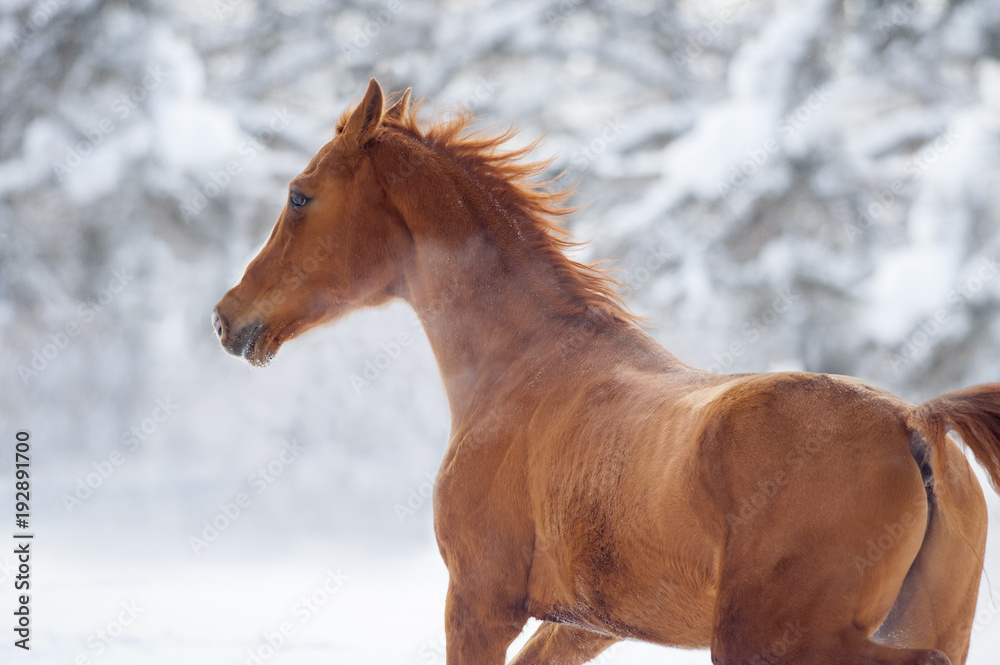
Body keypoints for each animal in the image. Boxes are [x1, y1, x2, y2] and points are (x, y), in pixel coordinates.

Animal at [215, 79, 1000, 664]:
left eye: (300, 194)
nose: (227, 317)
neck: (523, 368)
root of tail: (914, 424)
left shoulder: (478, 601)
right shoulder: (585, 626)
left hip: (777, 643)